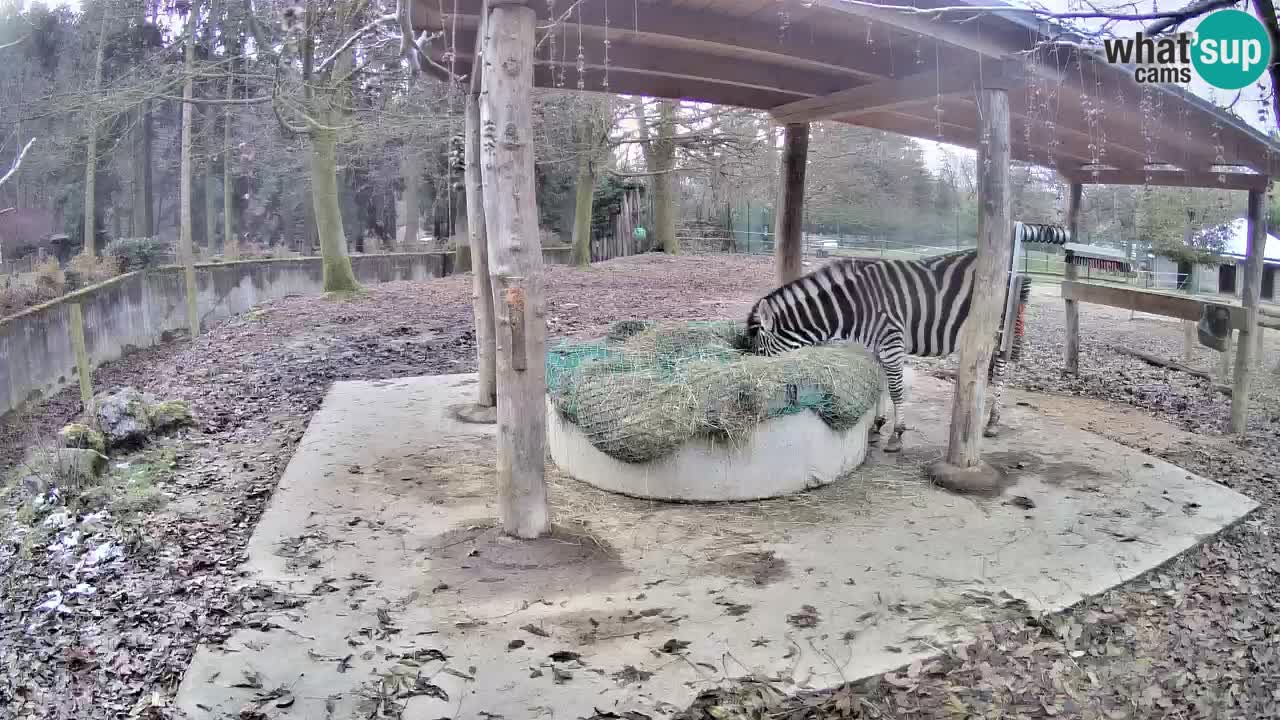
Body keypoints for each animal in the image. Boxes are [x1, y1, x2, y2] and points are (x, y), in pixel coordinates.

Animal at [747, 245, 1034, 448]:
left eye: (761, 353)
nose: (759, 391)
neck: (854, 307)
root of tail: (1011, 271)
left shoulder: (891, 340)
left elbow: (896, 389)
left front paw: (897, 433)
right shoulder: (878, 346)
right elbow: (882, 385)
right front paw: (877, 424)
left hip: (998, 329)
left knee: (1001, 369)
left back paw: (993, 421)